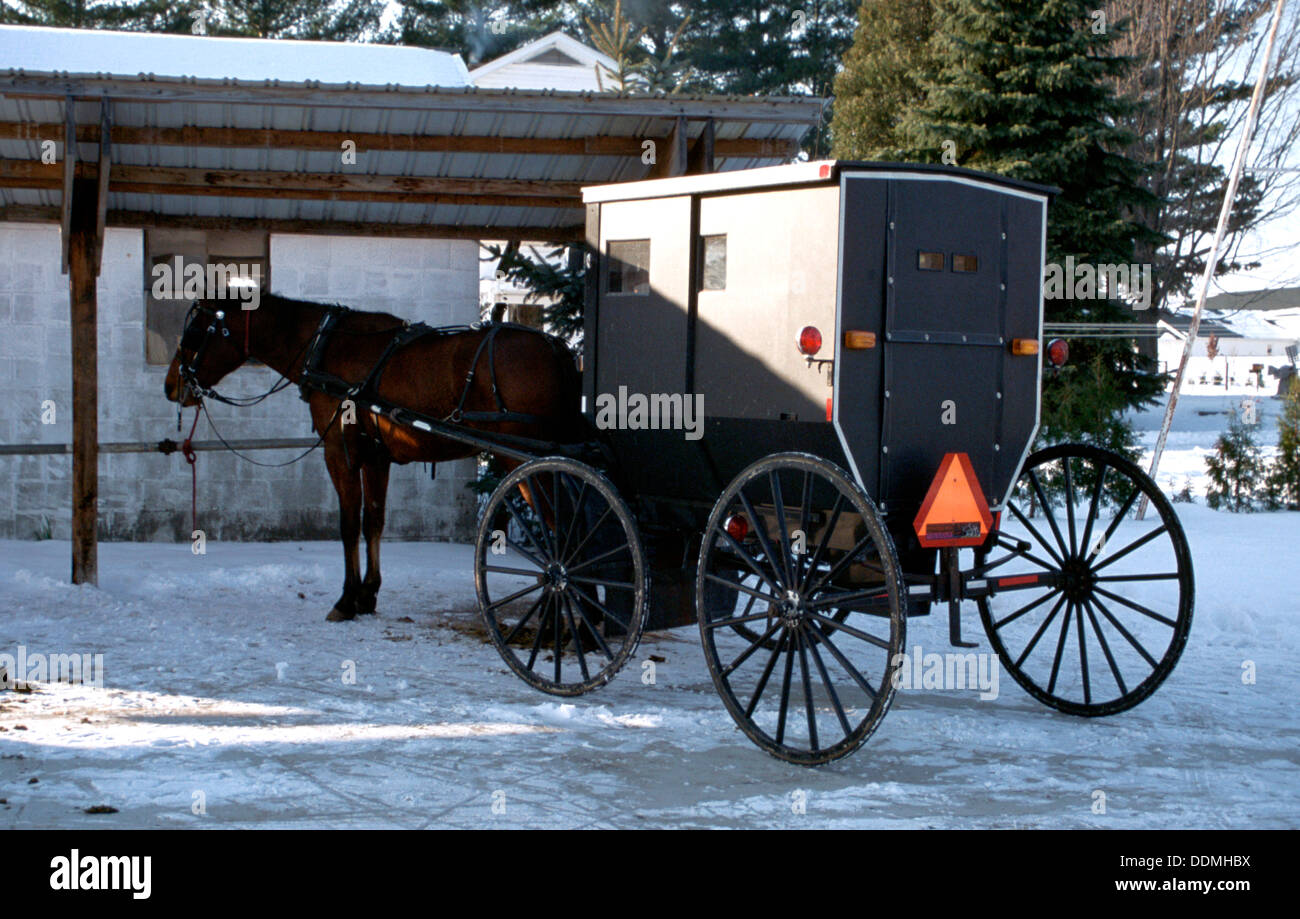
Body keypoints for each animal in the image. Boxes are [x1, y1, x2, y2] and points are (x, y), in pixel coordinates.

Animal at [165, 295, 582, 626]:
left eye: (194, 334)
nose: (171, 386)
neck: (326, 345)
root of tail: (557, 348)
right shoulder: (375, 458)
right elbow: (374, 523)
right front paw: (368, 594)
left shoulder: (341, 451)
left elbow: (349, 525)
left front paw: (347, 599)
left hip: (526, 465)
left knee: (562, 534)